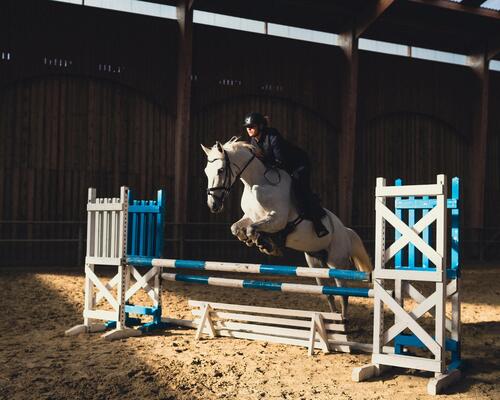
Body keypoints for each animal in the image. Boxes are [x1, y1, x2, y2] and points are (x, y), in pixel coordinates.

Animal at [200, 138, 372, 316]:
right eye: (206, 171)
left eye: (220, 170)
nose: (213, 205)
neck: (256, 184)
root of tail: (346, 231)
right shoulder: (250, 217)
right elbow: (237, 228)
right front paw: (252, 240)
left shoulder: (278, 219)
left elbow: (253, 229)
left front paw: (267, 245)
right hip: (315, 262)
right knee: (328, 292)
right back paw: (333, 316)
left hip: (337, 261)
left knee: (343, 291)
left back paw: (343, 318)